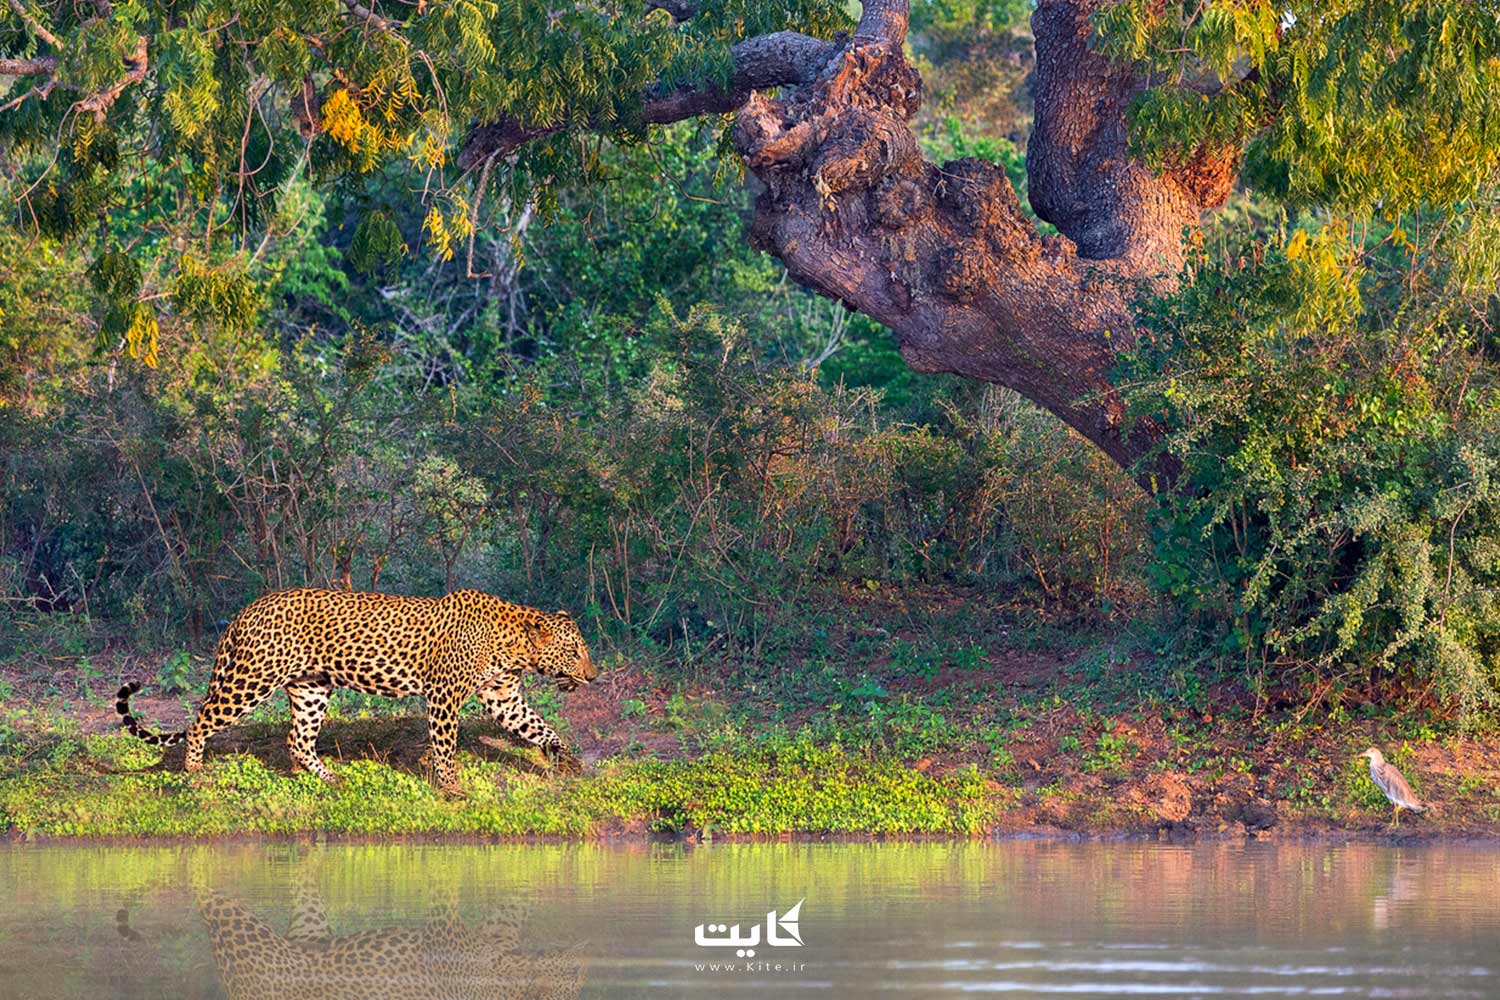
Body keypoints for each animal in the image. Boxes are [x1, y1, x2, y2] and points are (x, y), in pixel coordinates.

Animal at [114, 587, 594, 791]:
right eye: (574, 651)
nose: (592, 676)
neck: (514, 644)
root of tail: (244, 611)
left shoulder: (502, 696)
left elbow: (538, 726)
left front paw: (568, 759)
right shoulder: (443, 696)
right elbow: (445, 746)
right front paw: (452, 787)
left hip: (310, 687)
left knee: (297, 739)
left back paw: (328, 778)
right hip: (250, 680)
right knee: (200, 722)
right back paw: (194, 773)